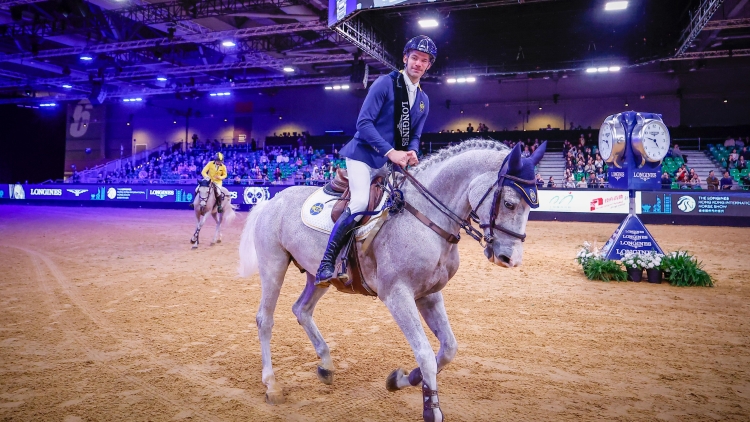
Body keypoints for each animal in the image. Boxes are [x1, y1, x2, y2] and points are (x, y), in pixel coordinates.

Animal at [239, 140, 548, 420]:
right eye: (509, 203)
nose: (510, 259)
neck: (426, 218)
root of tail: (271, 200)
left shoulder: (429, 294)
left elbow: (448, 349)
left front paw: (402, 379)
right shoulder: (397, 295)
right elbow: (425, 352)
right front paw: (431, 409)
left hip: (317, 275)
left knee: (302, 310)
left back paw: (326, 365)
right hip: (274, 266)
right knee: (265, 319)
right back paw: (272, 386)